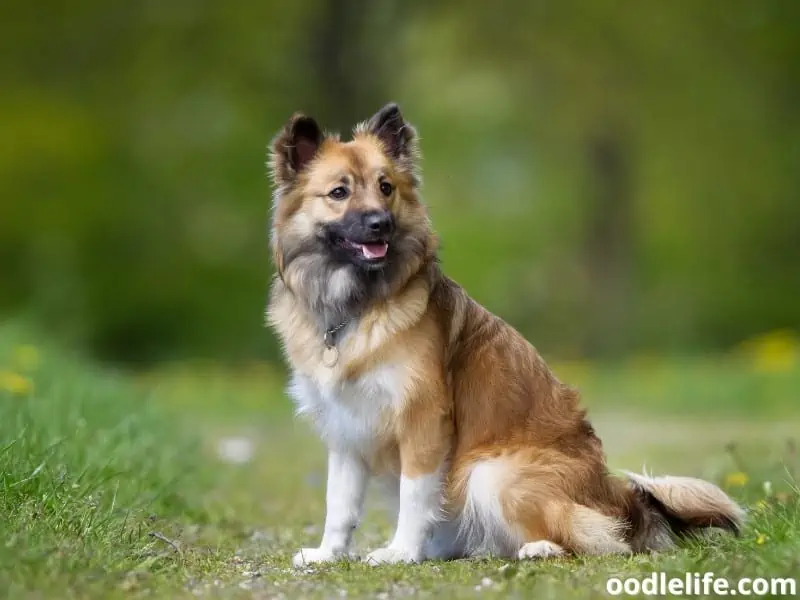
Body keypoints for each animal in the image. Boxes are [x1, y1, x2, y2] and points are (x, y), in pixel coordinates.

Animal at [264, 103, 744, 568]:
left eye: (386, 188)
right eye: (339, 192)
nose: (380, 223)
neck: (355, 307)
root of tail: (622, 501)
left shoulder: (423, 419)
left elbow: (414, 494)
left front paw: (401, 552)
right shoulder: (345, 430)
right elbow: (339, 504)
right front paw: (328, 554)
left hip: (491, 472)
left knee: (599, 540)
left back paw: (540, 548)